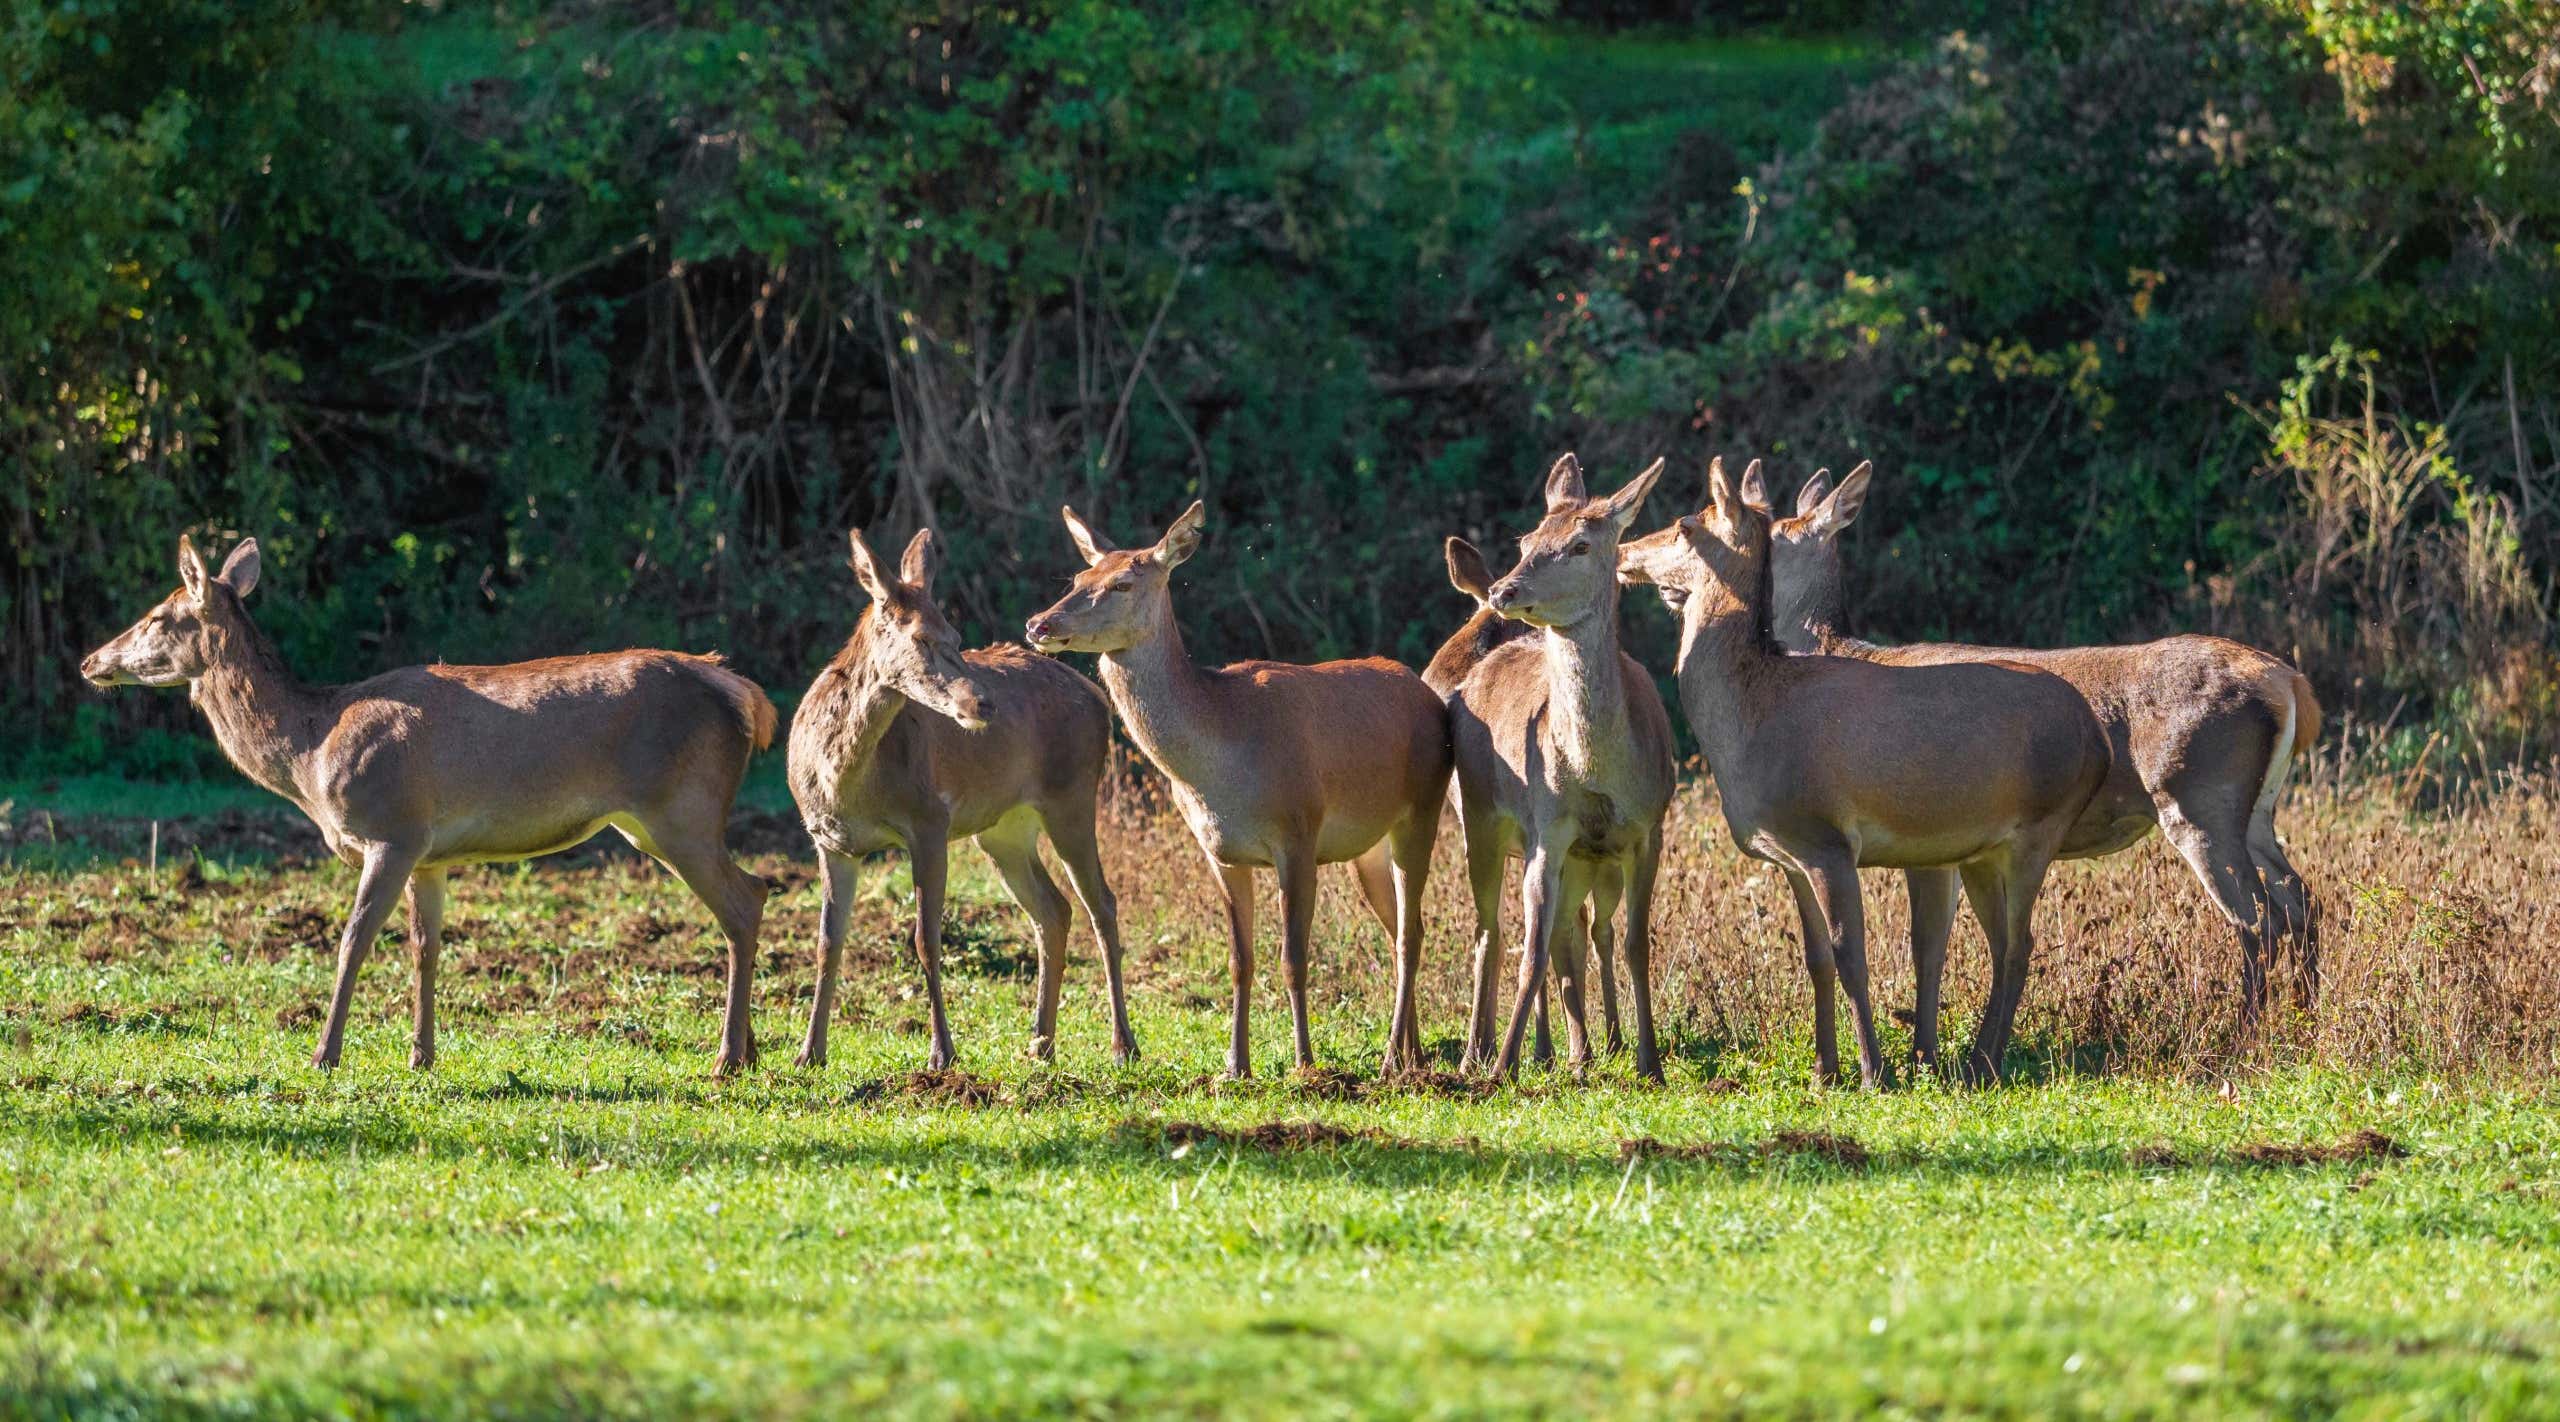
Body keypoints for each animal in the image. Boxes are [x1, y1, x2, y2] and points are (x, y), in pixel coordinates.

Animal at [80, 535, 778, 1074]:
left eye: (157, 616)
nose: (90, 660)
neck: (310, 755)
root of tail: (744, 693)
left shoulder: (393, 830)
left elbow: (354, 940)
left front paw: (325, 1055)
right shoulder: (431, 855)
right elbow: (425, 947)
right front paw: (421, 1055)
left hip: (681, 808)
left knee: (744, 902)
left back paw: (727, 1058)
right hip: (657, 822)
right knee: (754, 890)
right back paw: (749, 1050)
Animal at [789, 526, 1135, 1072]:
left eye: (954, 637)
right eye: (920, 638)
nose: (983, 702)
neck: (843, 780)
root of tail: (1099, 699)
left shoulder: (929, 821)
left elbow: (925, 939)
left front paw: (942, 1053)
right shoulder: (829, 840)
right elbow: (827, 942)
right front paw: (809, 1053)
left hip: (1073, 796)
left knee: (1100, 902)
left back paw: (1123, 1045)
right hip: (1003, 829)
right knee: (1053, 909)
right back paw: (1040, 1043)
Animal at [1023, 501, 1452, 1079]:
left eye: (1123, 584)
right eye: (1077, 578)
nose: (1040, 623)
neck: (1221, 770)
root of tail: (1427, 694)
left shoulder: (1298, 832)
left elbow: (1292, 958)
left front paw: (1305, 1062)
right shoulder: (1220, 852)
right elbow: (1239, 960)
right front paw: (1235, 1064)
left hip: (1423, 809)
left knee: (1411, 933)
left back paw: (1389, 1060)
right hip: (1368, 850)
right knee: (1399, 927)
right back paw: (1412, 1052)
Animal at [1618, 459, 2111, 1086]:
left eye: (1685, 524)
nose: (1624, 550)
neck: (1751, 723)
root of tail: (2098, 740)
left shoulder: (1828, 839)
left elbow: (1853, 957)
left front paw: (1874, 1071)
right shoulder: (1790, 852)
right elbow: (1816, 960)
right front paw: (1824, 1070)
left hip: (2041, 826)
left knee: (2021, 944)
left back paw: (1985, 1062)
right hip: (1984, 847)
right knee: (2002, 943)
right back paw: (1976, 1058)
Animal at [1767, 461, 2322, 1024]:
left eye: (1771, 537)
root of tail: (2289, 682)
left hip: (2198, 797)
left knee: (2257, 919)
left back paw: (2246, 1027)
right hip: (2255, 809)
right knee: (2301, 901)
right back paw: (2305, 1014)